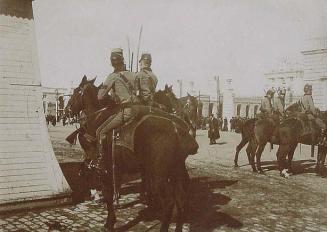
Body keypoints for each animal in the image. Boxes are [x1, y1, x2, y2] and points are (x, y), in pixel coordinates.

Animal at [65, 75, 199, 230]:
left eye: (76, 91)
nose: (66, 110)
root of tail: (177, 129)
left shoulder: (104, 171)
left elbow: (108, 194)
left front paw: (110, 222)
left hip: (158, 176)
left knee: (169, 202)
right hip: (176, 170)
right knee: (181, 199)